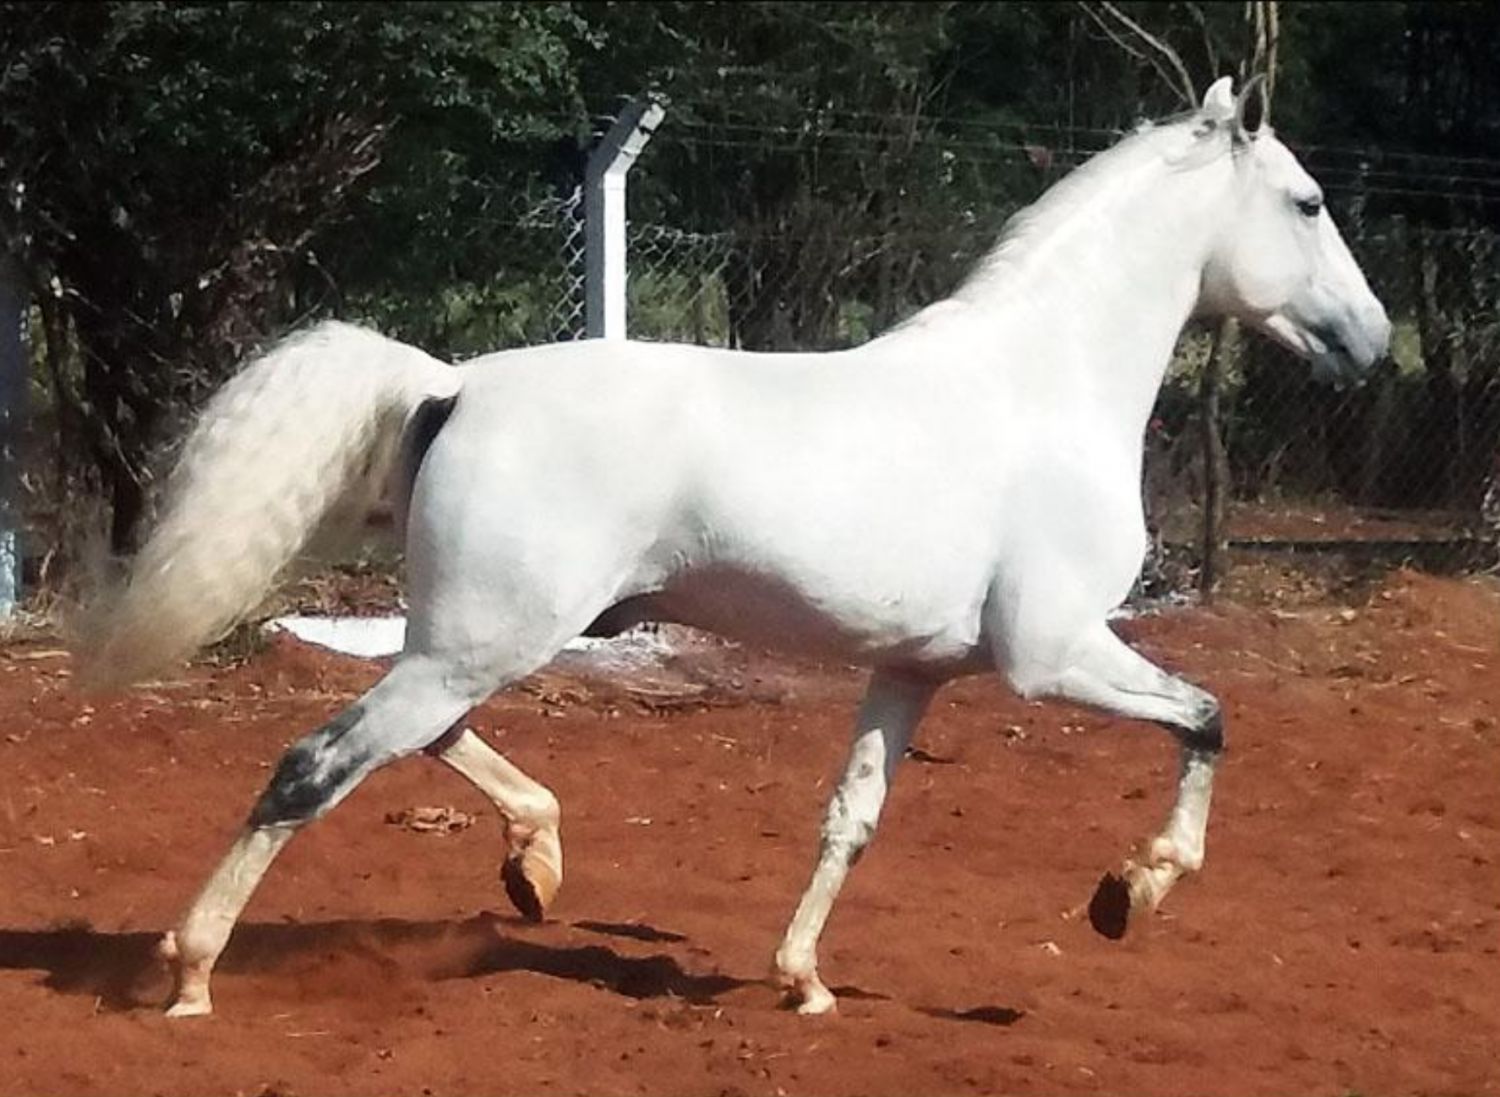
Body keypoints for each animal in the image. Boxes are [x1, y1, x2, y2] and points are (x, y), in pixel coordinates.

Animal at [78, 77, 1390, 1018]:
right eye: (1309, 203)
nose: (1372, 342)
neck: (1043, 387)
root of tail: (450, 384)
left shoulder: (912, 669)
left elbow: (851, 815)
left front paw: (800, 979)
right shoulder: (1054, 653)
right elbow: (1208, 716)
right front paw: (1132, 891)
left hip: (472, 638)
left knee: (412, 738)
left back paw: (535, 863)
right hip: (487, 637)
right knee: (318, 764)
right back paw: (190, 972)